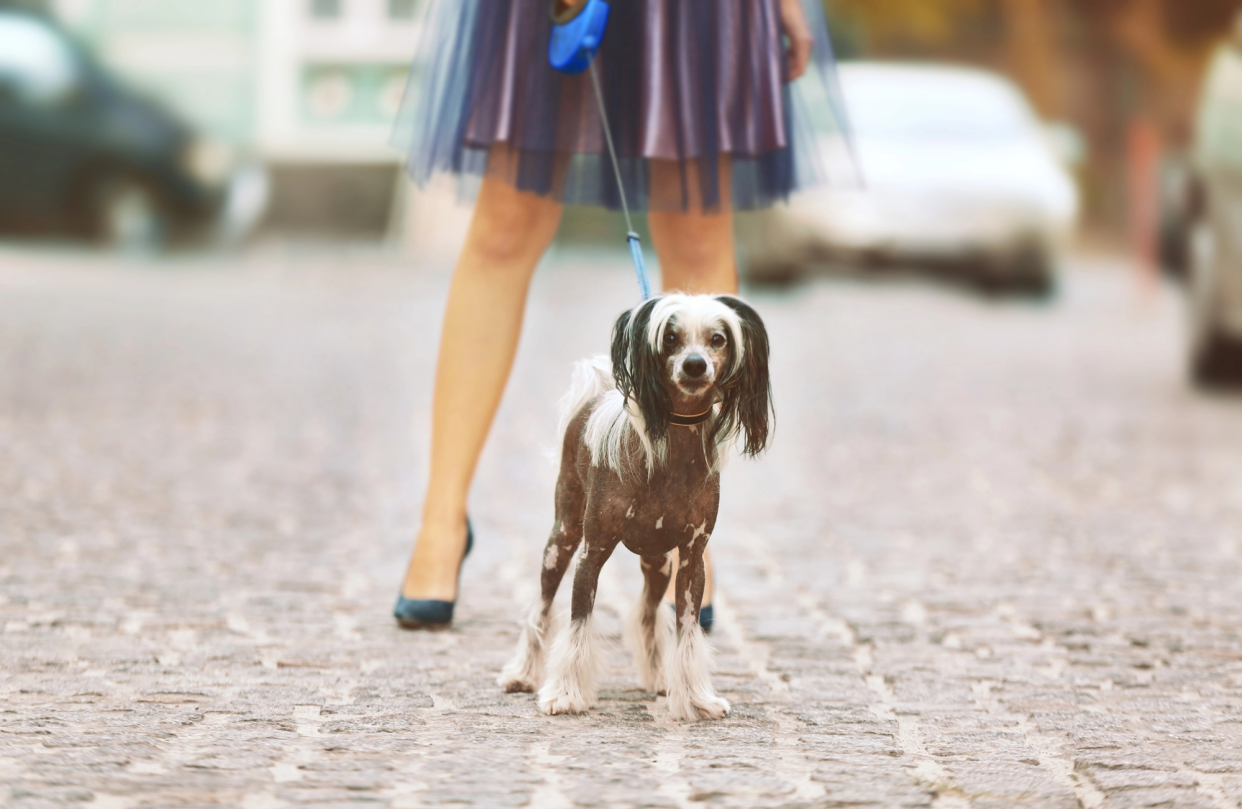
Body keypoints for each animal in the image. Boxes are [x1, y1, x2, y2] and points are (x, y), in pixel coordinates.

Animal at [496, 294, 770, 725]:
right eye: (671, 337)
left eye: (718, 339)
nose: (695, 365)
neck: (673, 454)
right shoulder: (591, 554)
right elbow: (577, 625)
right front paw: (566, 694)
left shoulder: (691, 561)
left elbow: (687, 632)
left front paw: (695, 699)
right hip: (562, 538)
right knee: (541, 605)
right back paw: (522, 673)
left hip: (659, 562)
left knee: (647, 613)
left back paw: (658, 676)